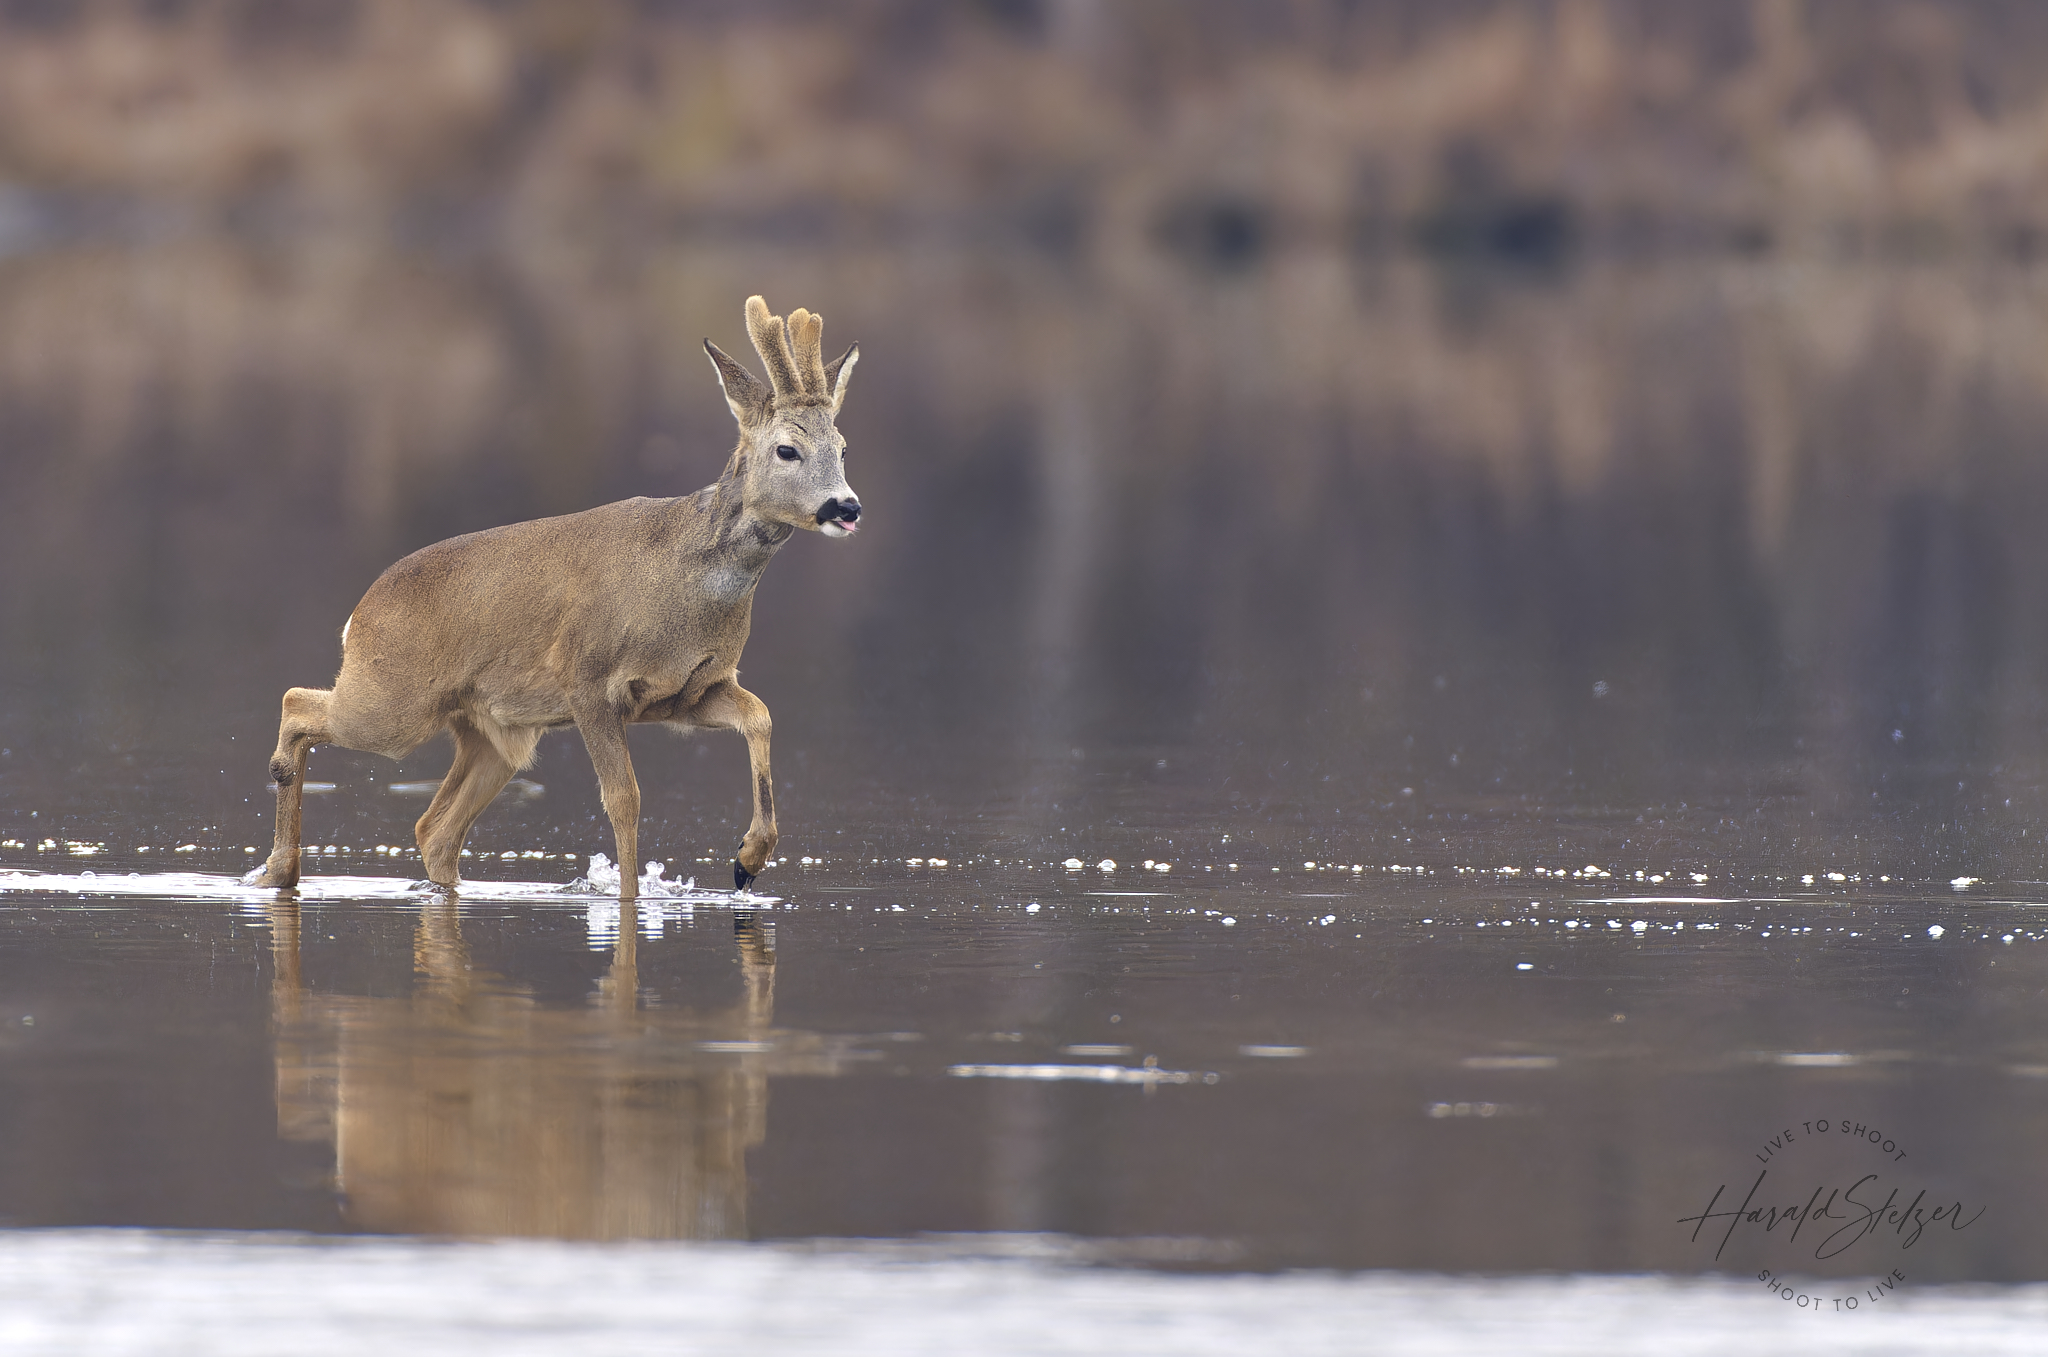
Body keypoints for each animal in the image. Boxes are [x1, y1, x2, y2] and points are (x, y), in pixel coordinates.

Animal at [251, 294, 860, 900]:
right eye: (787, 449)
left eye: (843, 447)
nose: (847, 506)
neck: (685, 580)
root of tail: (358, 616)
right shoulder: (587, 678)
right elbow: (625, 799)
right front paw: (630, 896)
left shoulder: (688, 692)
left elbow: (760, 716)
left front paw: (748, 859)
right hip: (393, 702)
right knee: (297, 703)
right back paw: (279, 869)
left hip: (494, 733)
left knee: (433, 830)